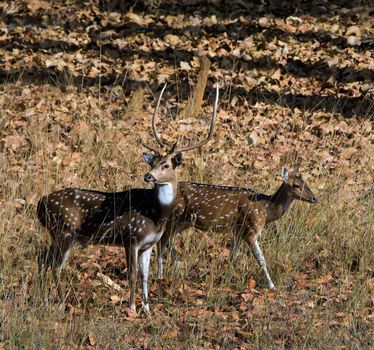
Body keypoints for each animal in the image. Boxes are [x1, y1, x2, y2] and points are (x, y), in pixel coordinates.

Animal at [37, 82, 219, 314]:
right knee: (53, 265)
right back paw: (55, 301)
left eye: (166, 165)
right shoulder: (130, 235)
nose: (148, 176)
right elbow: (132, 275)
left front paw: (147, 309)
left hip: (60, 234)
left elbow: (144, 276)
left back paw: (46, 299)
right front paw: (132, 307)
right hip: (64, 231)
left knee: (44, 260)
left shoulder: (148, 244)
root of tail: (40, 203)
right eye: (153, 162)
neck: (156, 215)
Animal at [142, 85, 318, 290]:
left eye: (306, 182)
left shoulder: (238, 231)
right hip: (173, 219)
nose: (314, 198)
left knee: (166, 243)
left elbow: (233, 256)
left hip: (182, 222)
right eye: (296, 185)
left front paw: (225, 280)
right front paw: (272, 286)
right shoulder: (251, 229)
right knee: (161, 244)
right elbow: (261, 259)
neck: (266, 210)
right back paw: (161, 276)